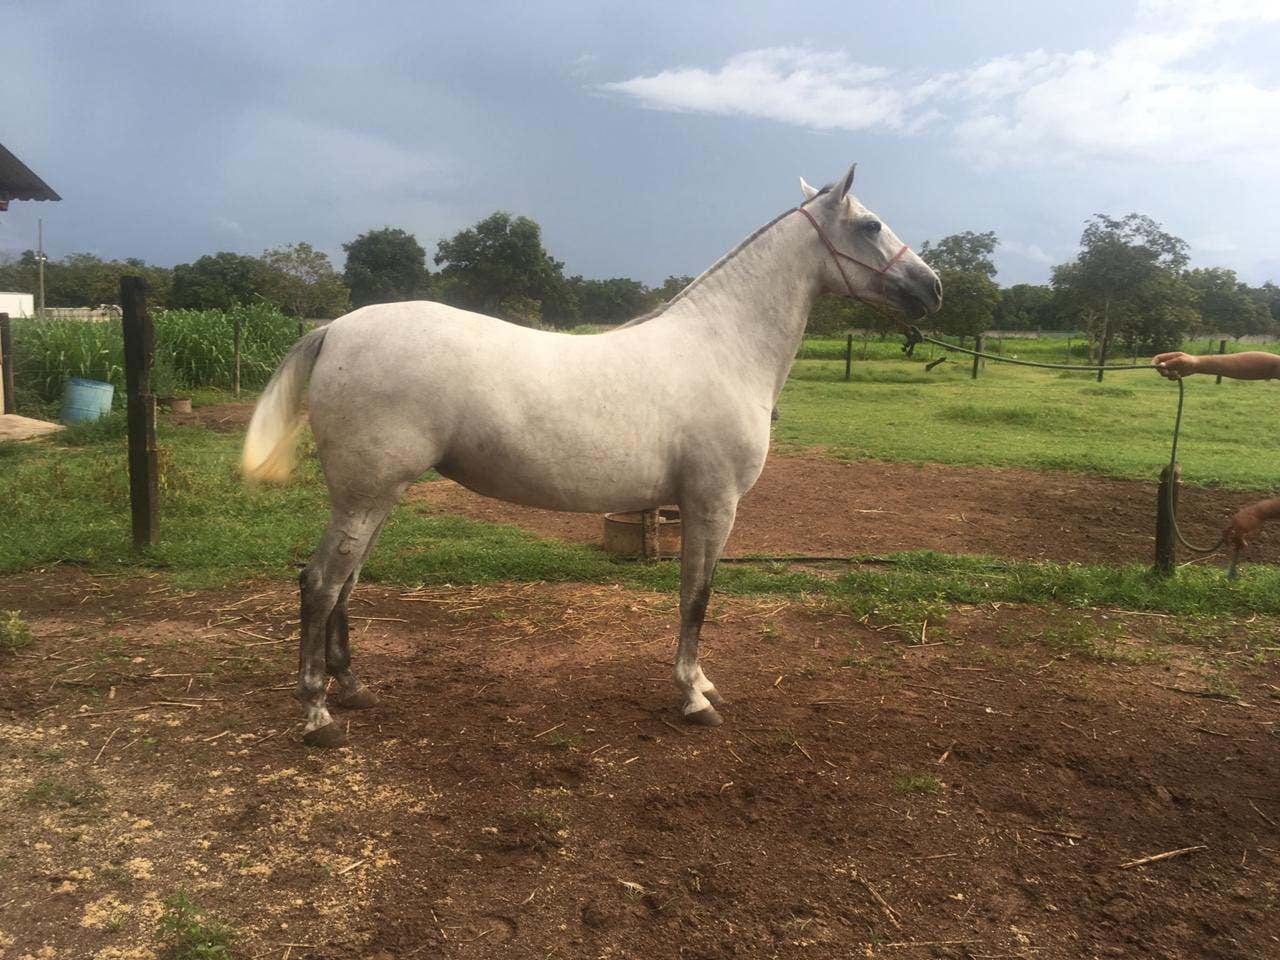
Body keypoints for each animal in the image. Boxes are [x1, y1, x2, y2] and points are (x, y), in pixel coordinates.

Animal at [241, 165, 942, 747]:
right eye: (871, 224)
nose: (932, 288)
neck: (723, 346)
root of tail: (337, 328)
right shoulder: (712, 503)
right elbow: (697, 596)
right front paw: (693, 697)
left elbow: (695, 595)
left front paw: (700, 684)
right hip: (365, 496)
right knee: (320, 584)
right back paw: (318, 715)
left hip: (377, 496)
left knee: (345, 585)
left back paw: (352, 691)